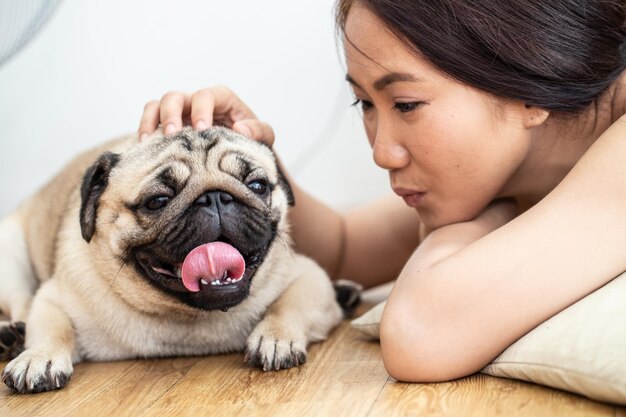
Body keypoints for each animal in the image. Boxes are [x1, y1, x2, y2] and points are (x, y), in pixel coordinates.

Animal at [0, 127, 346, 394]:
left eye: (258, 186)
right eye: (157, 201)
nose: (215, 196)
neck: (185, 317)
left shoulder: (308, 276)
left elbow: (290, 305)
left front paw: (276, 338)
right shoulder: (54, 296)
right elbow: (52, 326)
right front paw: (38, 357)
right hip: (9, 254)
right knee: (22, 304)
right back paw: (11, 336)